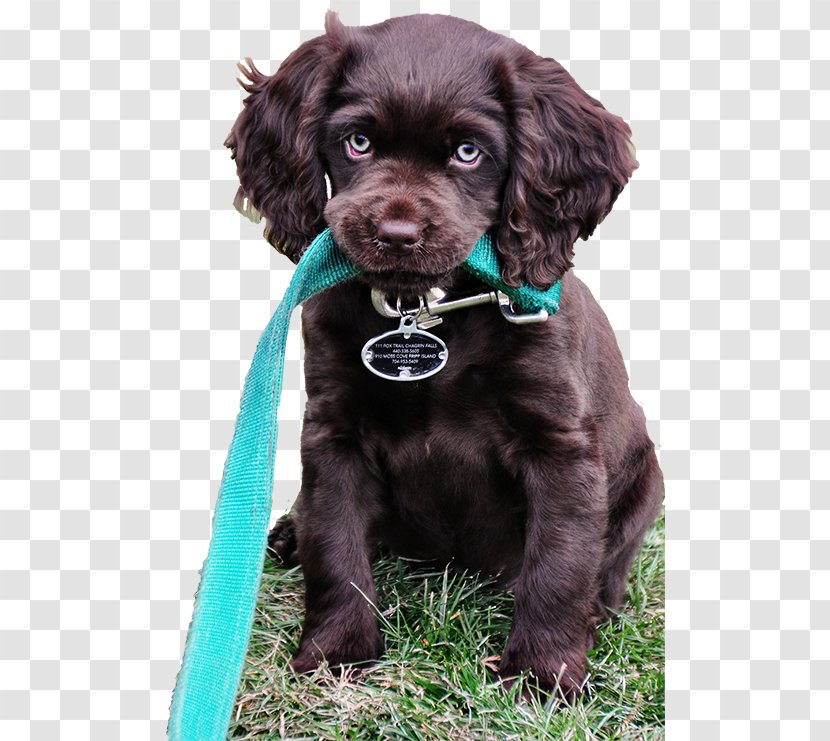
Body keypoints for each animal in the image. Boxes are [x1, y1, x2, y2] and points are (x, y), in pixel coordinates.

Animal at [223, 11, 664, 696]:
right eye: (358, 142)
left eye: (468, 152)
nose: (396, 234)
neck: (425, 311)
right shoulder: (333, 429)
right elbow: (336, 542)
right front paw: (336, 651)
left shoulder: (559, 444)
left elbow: (560, 562)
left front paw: (543, 674)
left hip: (647, 476)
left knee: (607, 559)